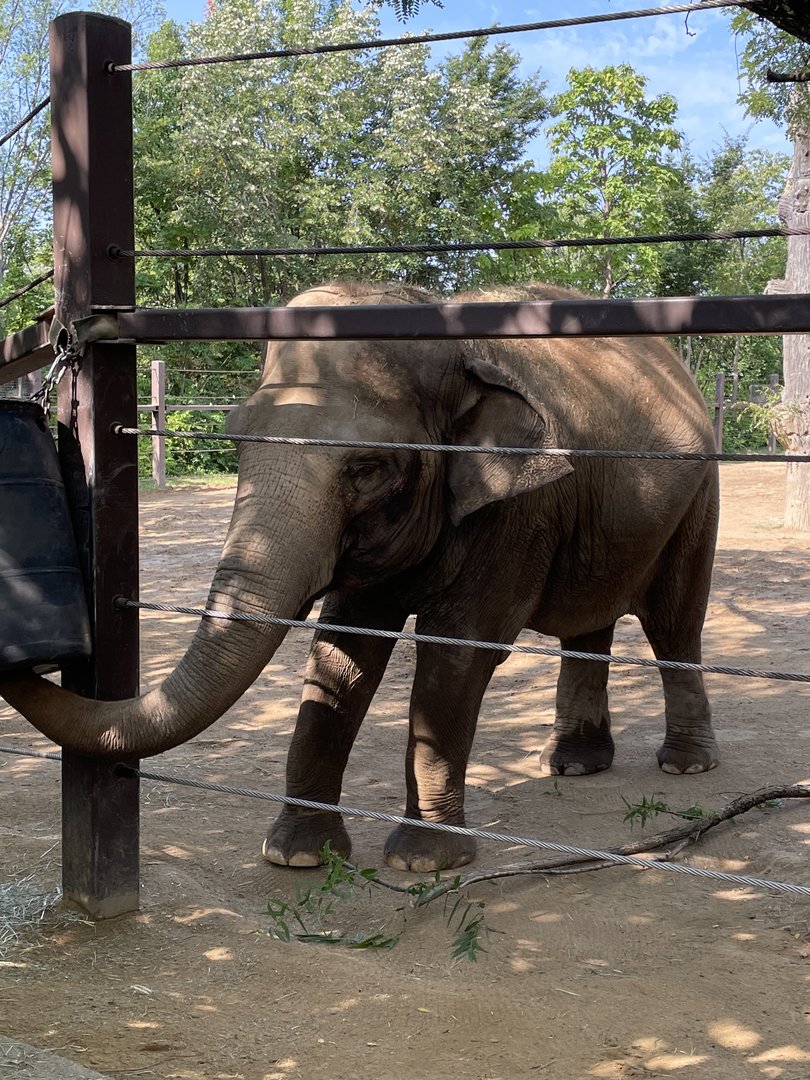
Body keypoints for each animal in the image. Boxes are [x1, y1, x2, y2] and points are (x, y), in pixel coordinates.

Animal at [0, 281, 720, 872]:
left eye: (367, 469)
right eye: (238, 443)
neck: (457, 339)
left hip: (699, 497)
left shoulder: (518, 510)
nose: (29, 657)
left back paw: (686, 764)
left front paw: (423, 862)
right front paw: (295, 856)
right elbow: (342, 651)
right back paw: (571, 764)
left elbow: (458, 650)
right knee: (589, 624)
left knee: (673, 624)